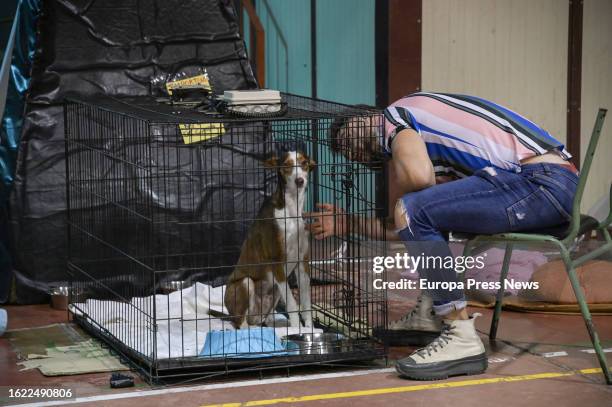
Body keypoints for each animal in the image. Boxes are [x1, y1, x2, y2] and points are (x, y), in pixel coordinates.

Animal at [225, 151, 316, 330]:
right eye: (286, 165)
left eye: (304, 163)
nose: (299, 181)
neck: (291, 211)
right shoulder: (277, 263)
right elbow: (293, 304)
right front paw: (297, 329)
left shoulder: (302, 262)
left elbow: (306, 303)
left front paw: (309, 329)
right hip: (246, 284)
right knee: (240, 323)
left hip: (275, 292)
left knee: (264, 319)